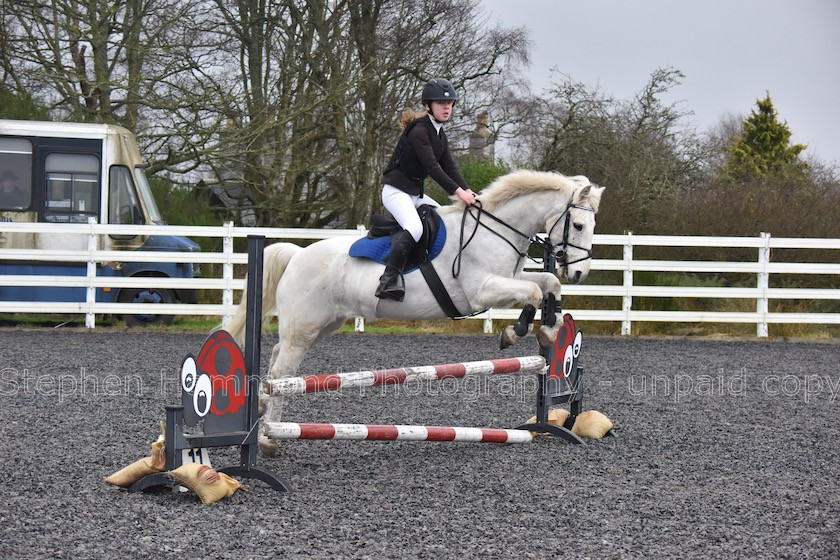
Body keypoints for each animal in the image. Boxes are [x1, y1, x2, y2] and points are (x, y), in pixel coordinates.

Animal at [225, 170, 604, 456]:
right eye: (579, 226)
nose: (580, 273)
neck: (497, 230)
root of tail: (297, 255)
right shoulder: (481, 291)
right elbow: (535, 292)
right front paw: (519, 331)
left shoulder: (509, 280)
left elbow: (548, 283)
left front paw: (546, 330)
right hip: (305, 327)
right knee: (281, 371)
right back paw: (267, 438)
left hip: (322, 325)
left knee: (279, 360)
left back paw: (263, 410)